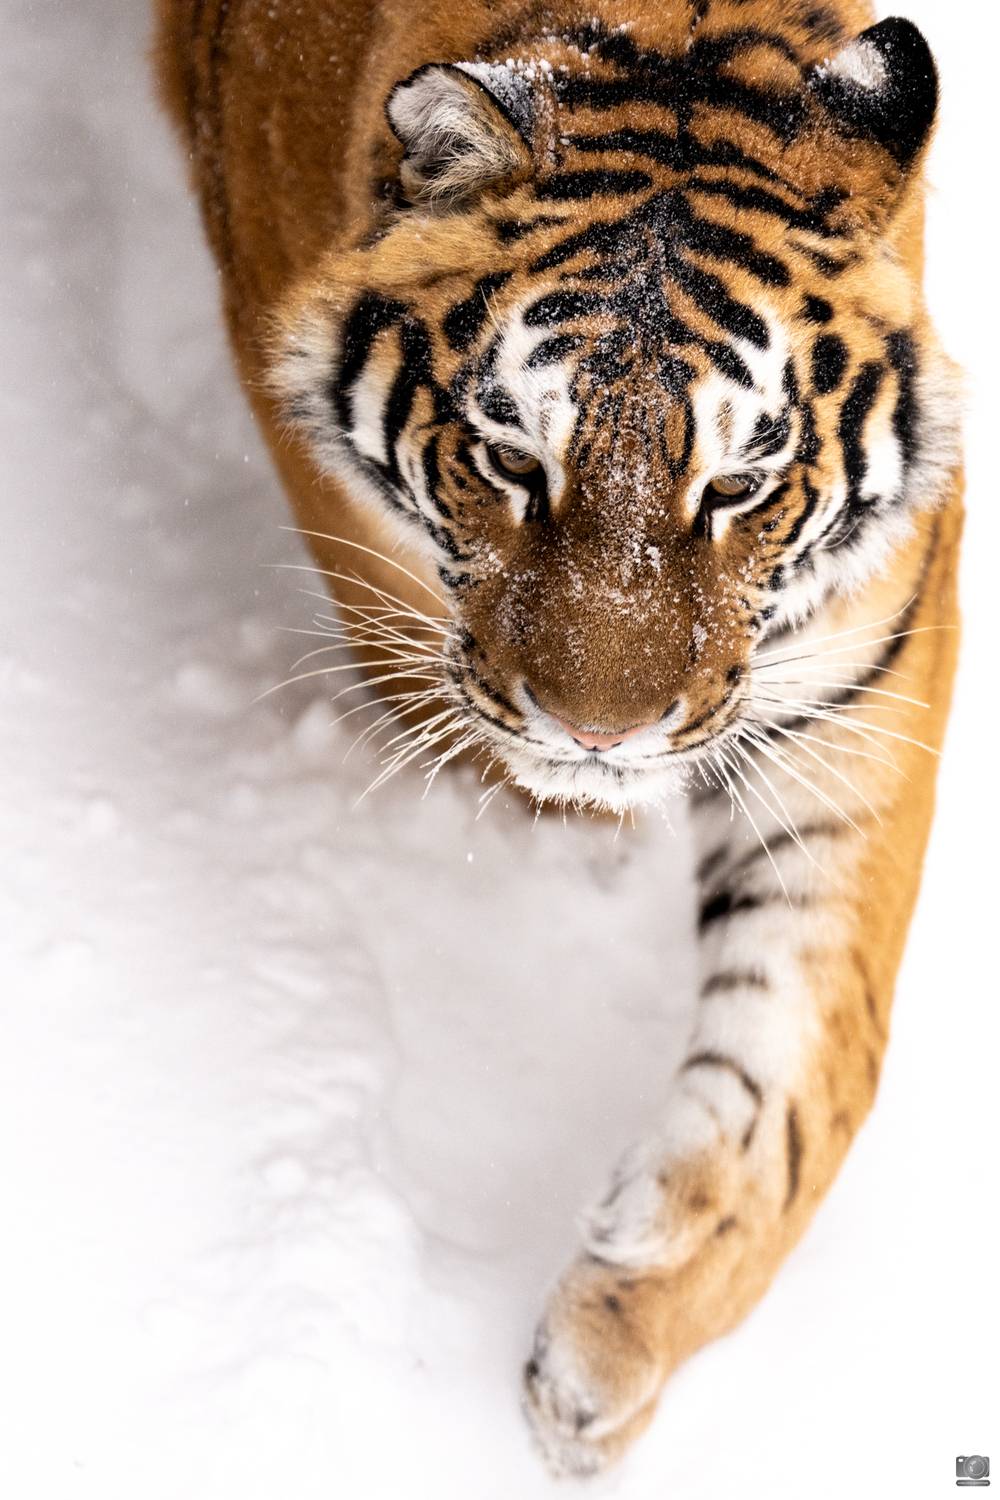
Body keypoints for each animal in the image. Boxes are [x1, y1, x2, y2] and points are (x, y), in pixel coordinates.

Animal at [155, 0, 963, 1475]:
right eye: (510, 460)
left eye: (740, 484)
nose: (599, 732)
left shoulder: (859, 682)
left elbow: (811, 1065)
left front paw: (622, 1322)